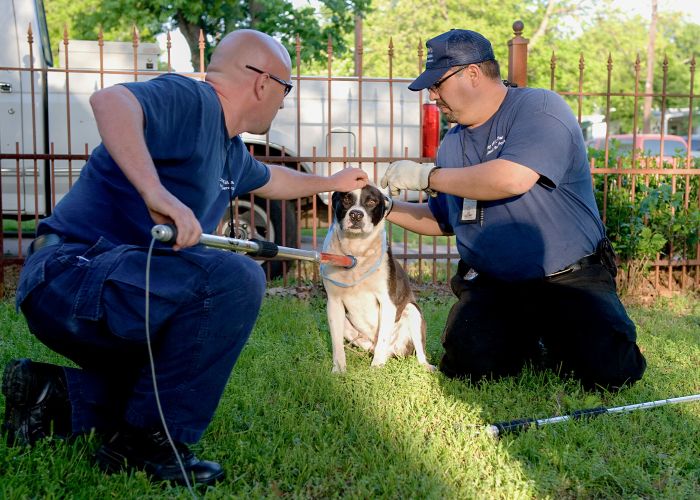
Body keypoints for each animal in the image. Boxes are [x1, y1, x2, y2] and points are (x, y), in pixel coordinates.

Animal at [322, 184, 432, 372]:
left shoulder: (387, 303)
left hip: (412, 312)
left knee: (416, 351)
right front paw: (338, 370)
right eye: (346, 199)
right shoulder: (334, 303)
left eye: (372, 201)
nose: (356, 214)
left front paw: (376, 368)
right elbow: (336, 344)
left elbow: (382, 339)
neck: (356, 252)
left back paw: (426, 366)